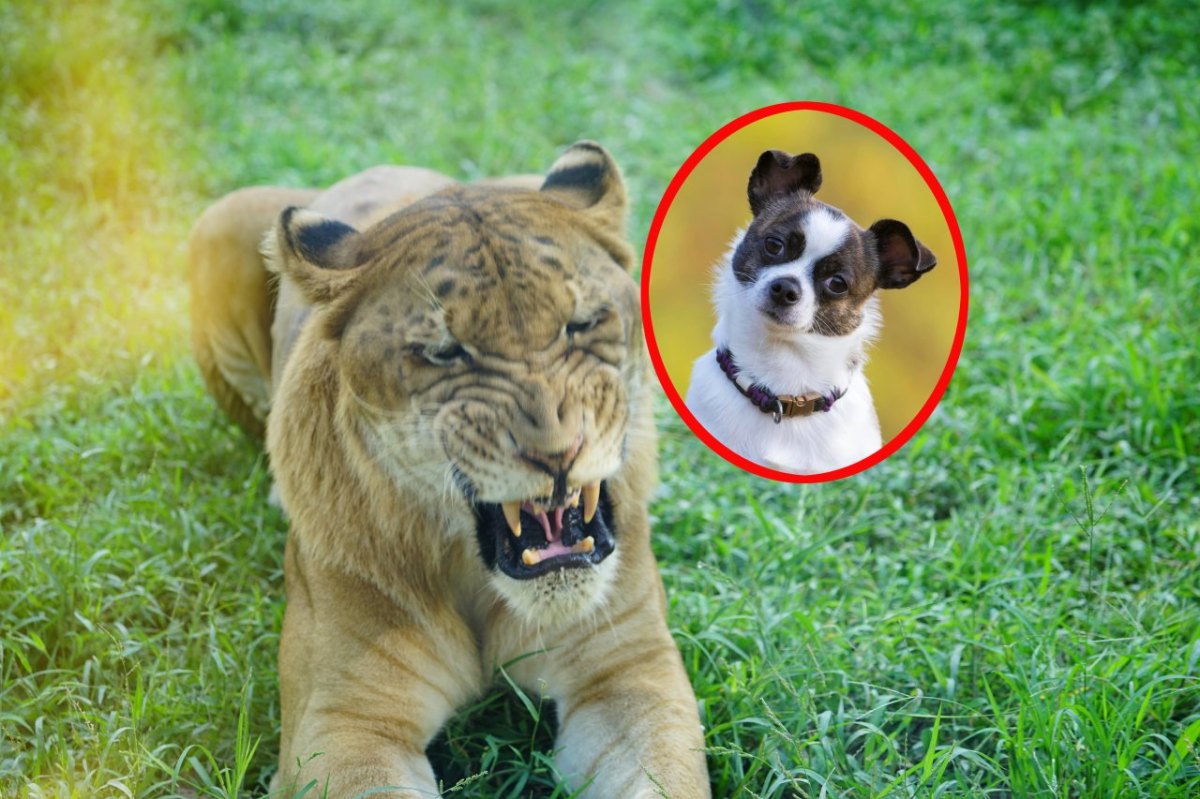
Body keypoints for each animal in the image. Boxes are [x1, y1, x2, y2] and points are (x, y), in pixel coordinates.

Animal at [188, 143, 711, 798]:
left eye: (582, 323)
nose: (559, 452)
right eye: (444, 353)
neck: (481, 582)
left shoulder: (630, 673)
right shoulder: (341, 725)